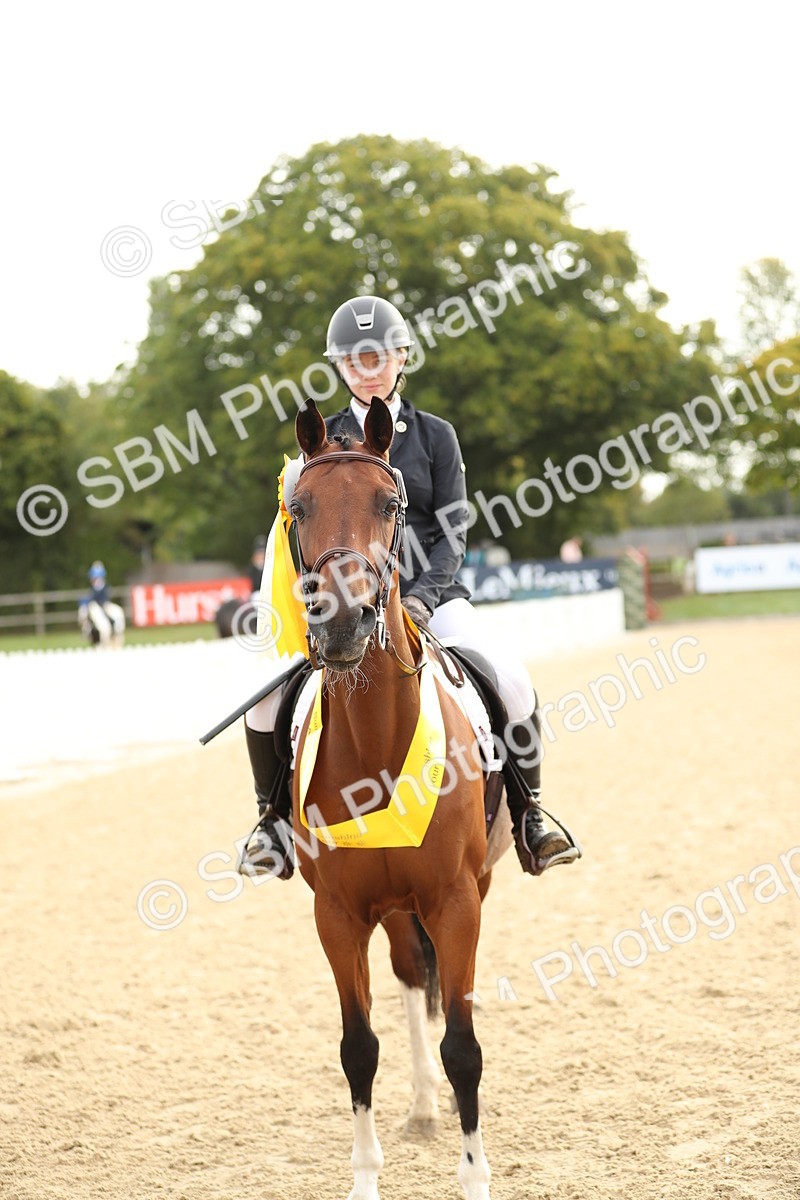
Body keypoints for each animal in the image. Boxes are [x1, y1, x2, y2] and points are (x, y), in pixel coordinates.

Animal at [286, 395, 500, 1200]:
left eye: (390, 503)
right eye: (298, 507)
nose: (342, 621)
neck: (377, 738)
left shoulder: (457, 900)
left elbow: (464, 1047)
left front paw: (475, 1180)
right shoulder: (338, 913)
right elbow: (358, 1047)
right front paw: (365, 1180)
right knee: (411, 977)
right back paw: (421, 1107)